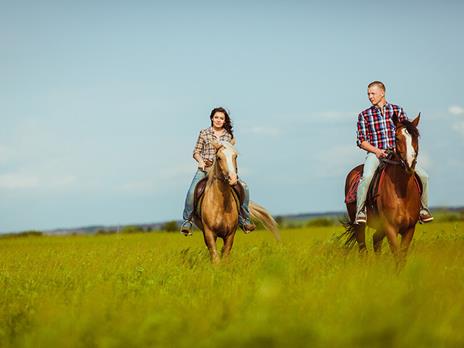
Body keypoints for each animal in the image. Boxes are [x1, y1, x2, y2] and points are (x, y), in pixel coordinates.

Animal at [342, 115, 422, 264]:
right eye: (397, 138)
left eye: (416, 137)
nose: (409, 164)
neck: (402, 193)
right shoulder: (390, 228)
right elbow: (397, 255)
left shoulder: (409, 229)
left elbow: (402, 257)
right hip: (359, 226)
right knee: (363, 248)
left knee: (376, 240)